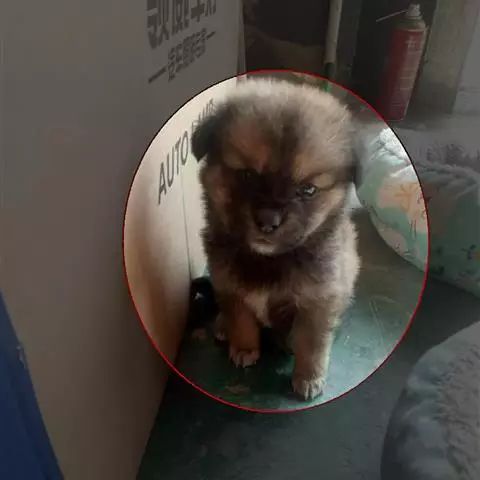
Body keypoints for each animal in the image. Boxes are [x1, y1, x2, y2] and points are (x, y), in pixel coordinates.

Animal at [191, 78, 360, 401]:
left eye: (308, 190)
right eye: (246, 176)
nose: (268, 221)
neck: (268, 259)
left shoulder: (318, 299)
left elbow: (311, 343)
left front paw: (309, 378)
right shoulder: (229, 284)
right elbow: (242, 319)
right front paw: (244, 347)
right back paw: (222, 325)